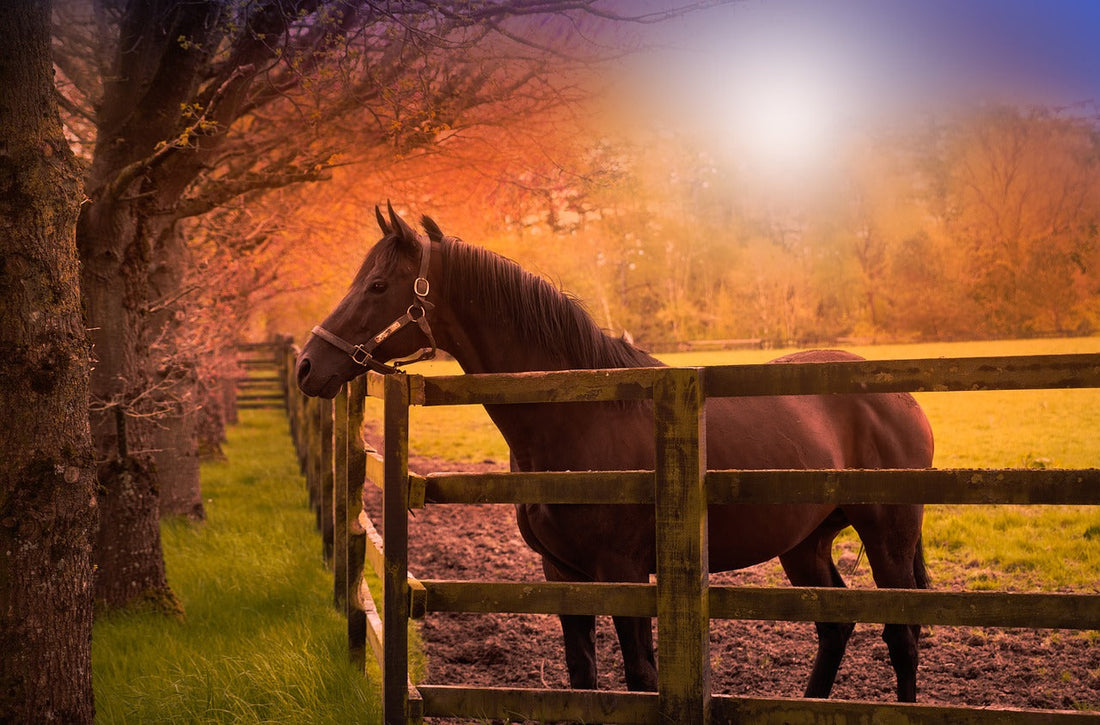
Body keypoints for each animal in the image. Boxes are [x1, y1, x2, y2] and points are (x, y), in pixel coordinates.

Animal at [296, 204, 935, 701]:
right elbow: (584, 677)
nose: (308, 365)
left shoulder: (623, 571)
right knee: (835, 625)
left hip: (888, 537)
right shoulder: (562, 573)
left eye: (379, 286)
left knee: (902, 635)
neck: (581, 413)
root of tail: (897, 395)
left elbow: (641, 677)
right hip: (805, 542)